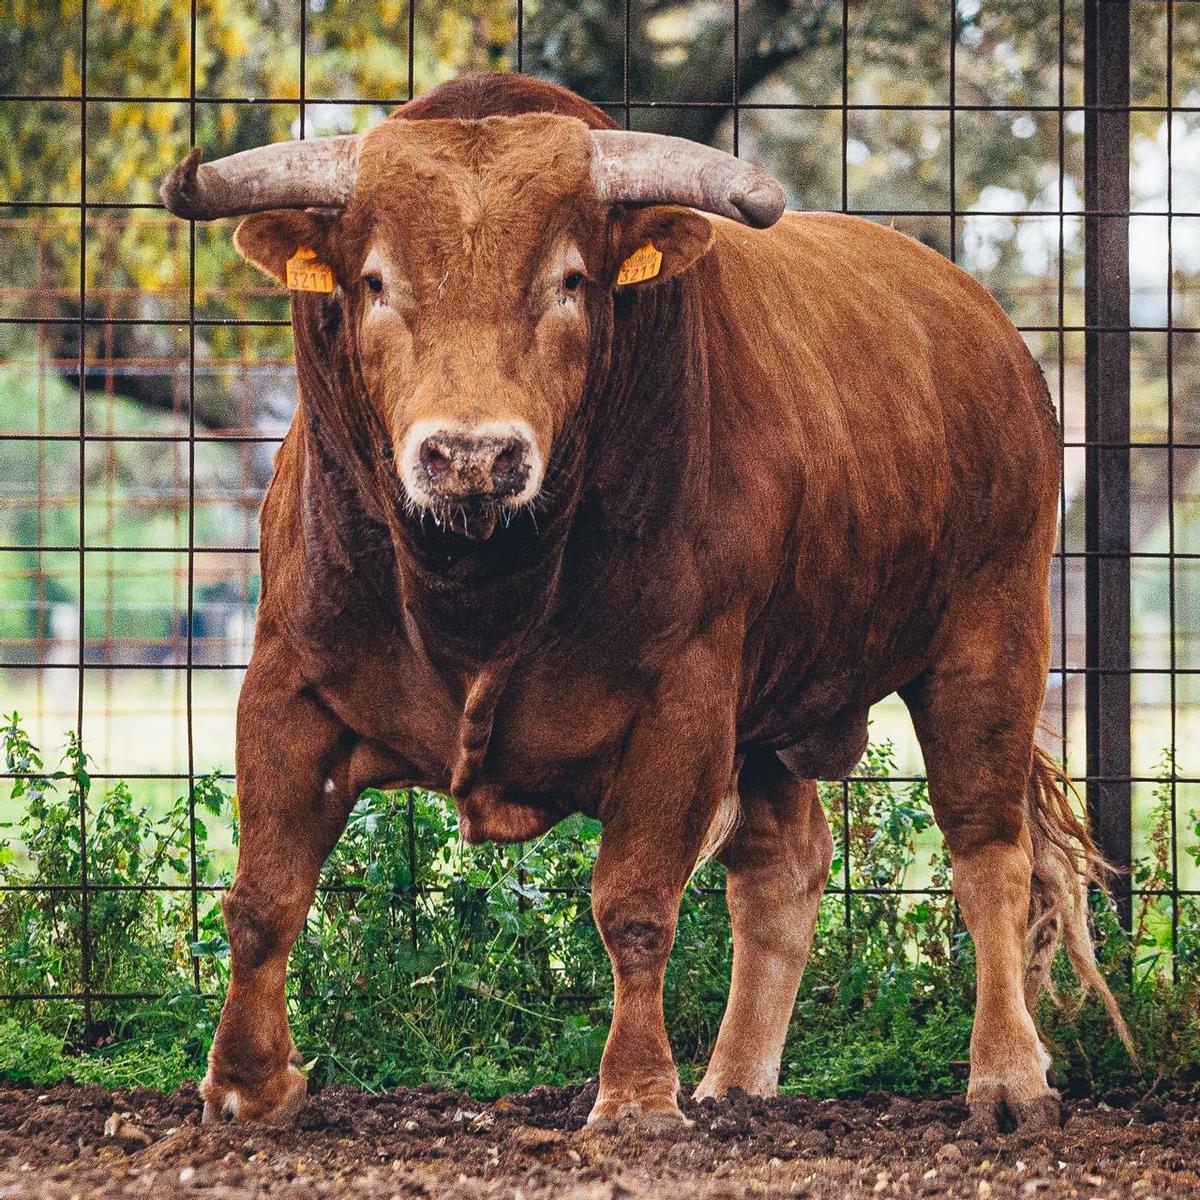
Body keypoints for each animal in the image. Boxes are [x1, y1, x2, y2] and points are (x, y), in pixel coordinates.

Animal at [162, 72, 1132, 1123]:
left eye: (569, 281)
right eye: (375, 281)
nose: (472, 455)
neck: (479, 594)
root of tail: (995, 339)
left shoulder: (684, 701)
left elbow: (633, 907)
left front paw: (633, 1095)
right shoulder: (287, 685)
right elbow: (263, 899)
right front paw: (245, 1084)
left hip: (989, 639)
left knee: (988, 853)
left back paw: (1008, 1074)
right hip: (776, 701)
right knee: (783, 870)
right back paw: (736, 1080)